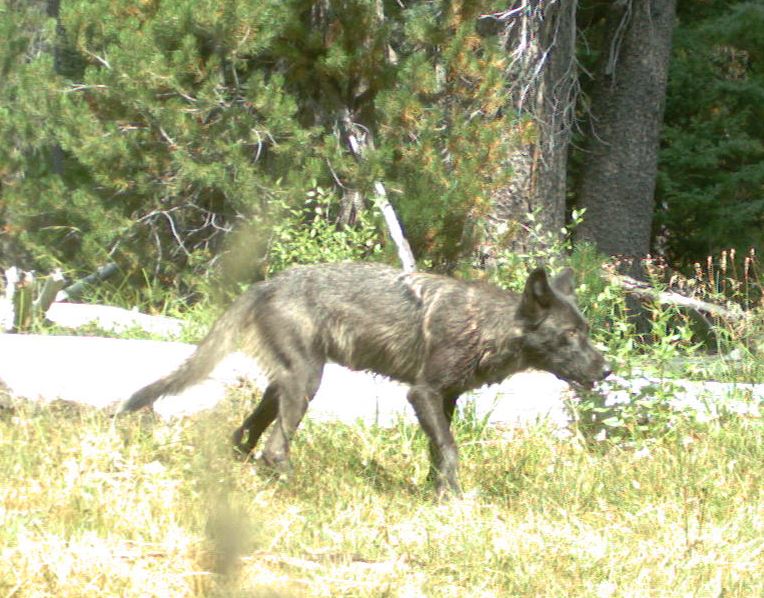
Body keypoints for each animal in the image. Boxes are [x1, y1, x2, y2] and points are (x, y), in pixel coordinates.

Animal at [119, 262, 609, 497]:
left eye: (586, 331)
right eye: (570, 335)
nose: (607, 370)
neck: (487, 328)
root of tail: (266, 284)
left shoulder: (444, 399)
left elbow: (438, 451)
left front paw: (435, 492)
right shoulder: (422, 393)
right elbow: (450, 449)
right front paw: (453, 499)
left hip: (284, 385)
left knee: (245, 434)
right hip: (306, 383)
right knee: (275, 447)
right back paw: (296, 487)